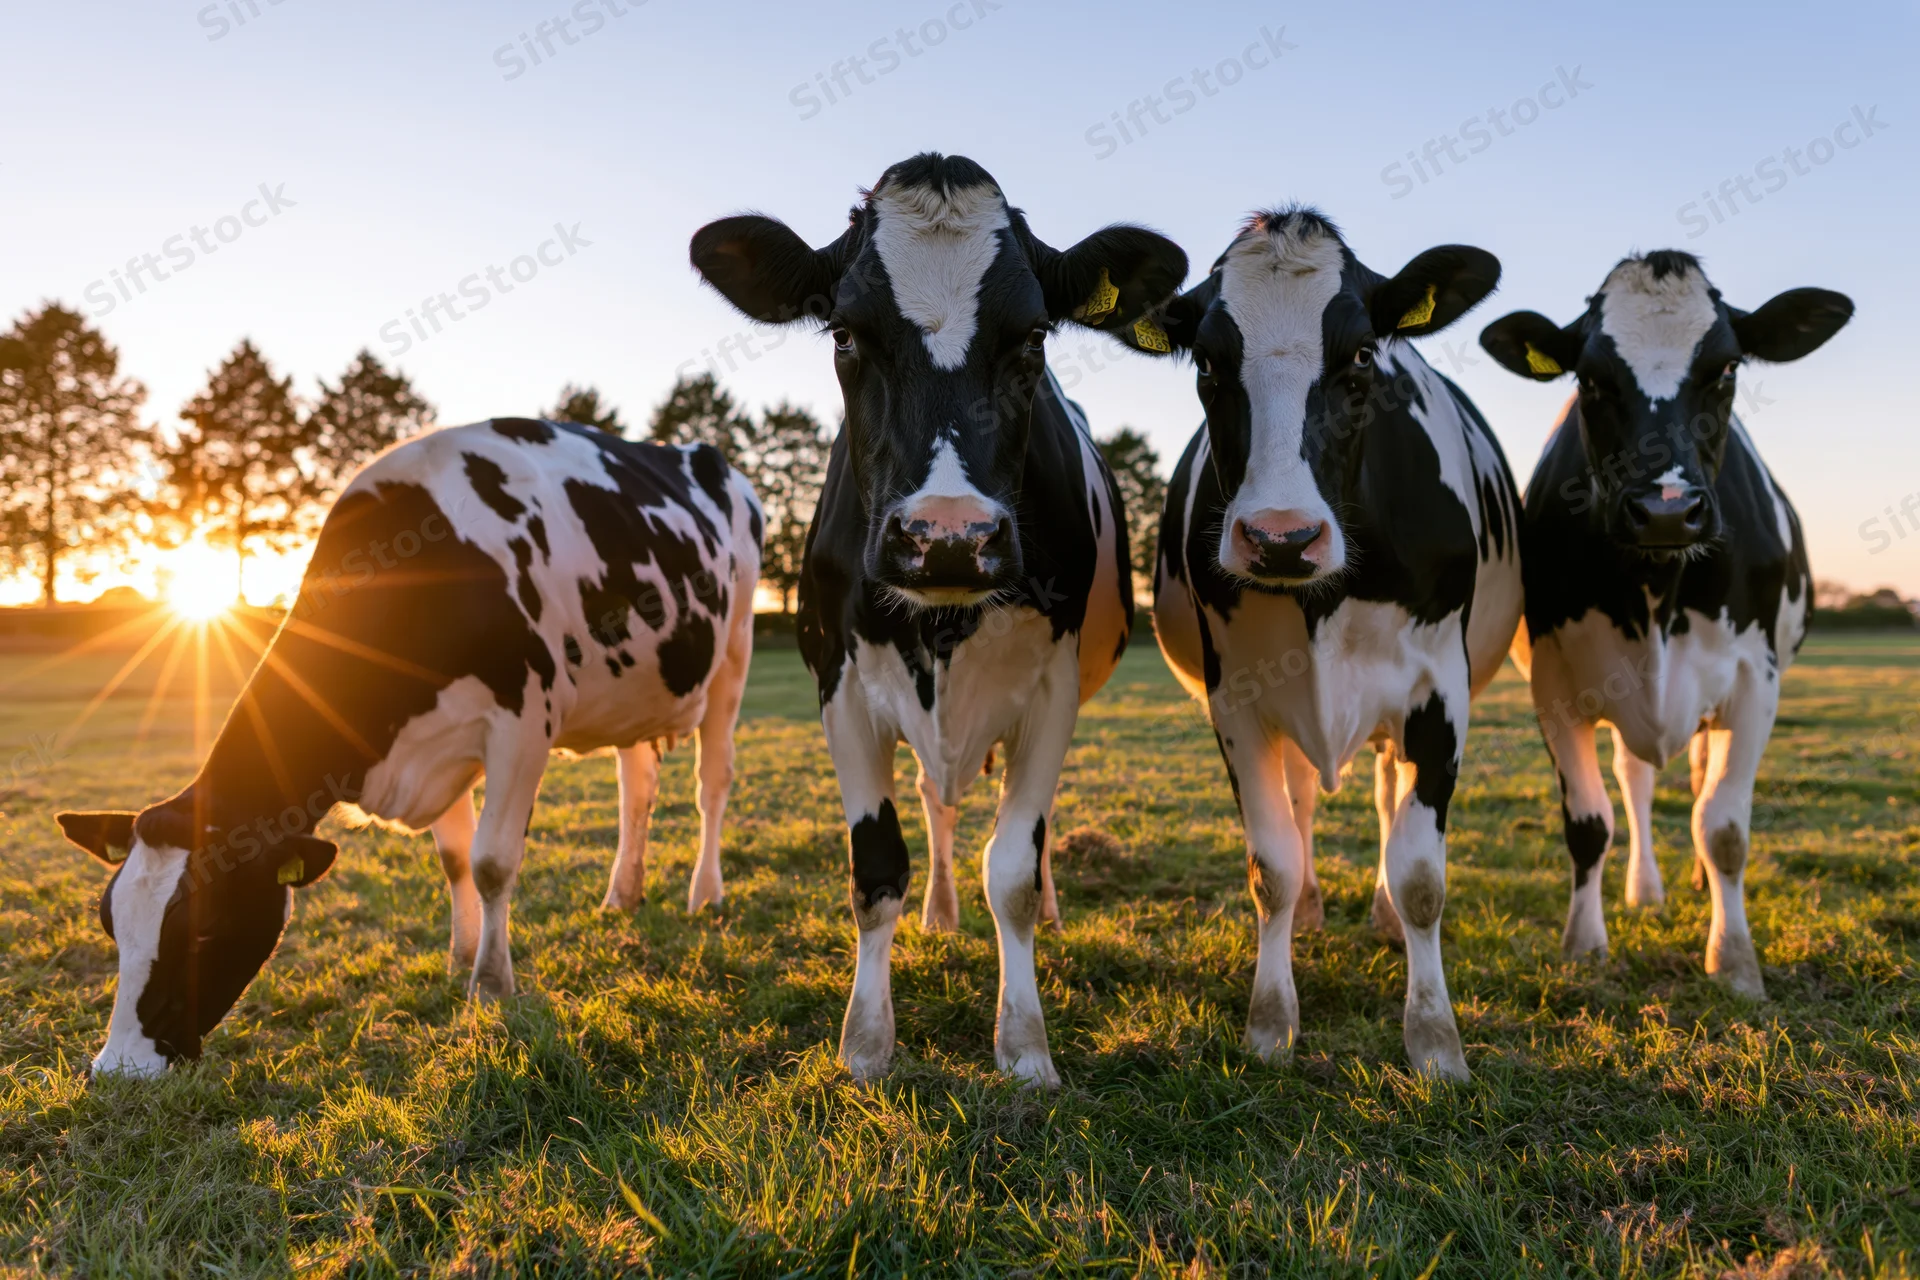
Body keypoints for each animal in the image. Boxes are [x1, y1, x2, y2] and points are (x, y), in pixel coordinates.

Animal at [56, 419, 762, 1076]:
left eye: (203, 927)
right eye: (109, 921)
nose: (119, 1068)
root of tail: (704, 455)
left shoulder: (523, 721)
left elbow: (491, 861)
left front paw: (490, 985)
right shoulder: (438, 744)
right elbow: (454, 861)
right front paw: (460, 956)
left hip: (735, 649)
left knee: (713, 782)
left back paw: (705, 894)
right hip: (635, 695)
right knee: (636, 787)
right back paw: (622, 894)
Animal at [689, 152, 1185, 1086]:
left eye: (1034, 337)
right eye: (845, 333)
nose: (948, 538)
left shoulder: (1054, 690)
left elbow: (1015, 869)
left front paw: (1024, 1045)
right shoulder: (840, 687)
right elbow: (876, 868)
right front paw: (865, 1045)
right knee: (936, 799)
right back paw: (941, 912)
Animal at [1140, 209, 1520, 1081]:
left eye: (1361, 356)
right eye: (1207, 361)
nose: (1282, 538)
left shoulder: (1439, 693)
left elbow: (1421, 875)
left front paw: (1435, 1041)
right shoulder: (1238, 700)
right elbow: (1271, 866)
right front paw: (1270, 1025)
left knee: (1384, 795)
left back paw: (1378, 914)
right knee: (1304, 800)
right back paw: (1316, 906)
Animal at [1479, 251, 1851, 996]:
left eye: (1728, 367)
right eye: (1590, 377)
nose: (1666, 509)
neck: (1657, 586)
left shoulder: (1755, 681)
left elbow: (1723, 826)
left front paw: (1734, 960)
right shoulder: (1556, 686)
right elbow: (1589, 822)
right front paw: (1585, 945)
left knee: (1699, 780)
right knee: (1636, 778)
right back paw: (1646, 890)